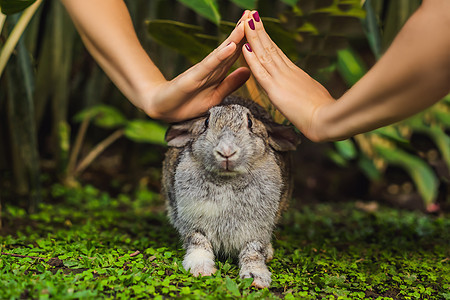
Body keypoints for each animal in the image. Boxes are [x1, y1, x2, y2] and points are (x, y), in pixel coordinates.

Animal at [160, 96, 300, 288]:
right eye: (206, 122)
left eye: (250, 122)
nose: (226, 151)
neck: (227, 179)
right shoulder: (192, 222)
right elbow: (198, 242)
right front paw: (201, 270)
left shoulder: (256, 230)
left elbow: (253, 251)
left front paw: (256, 279)